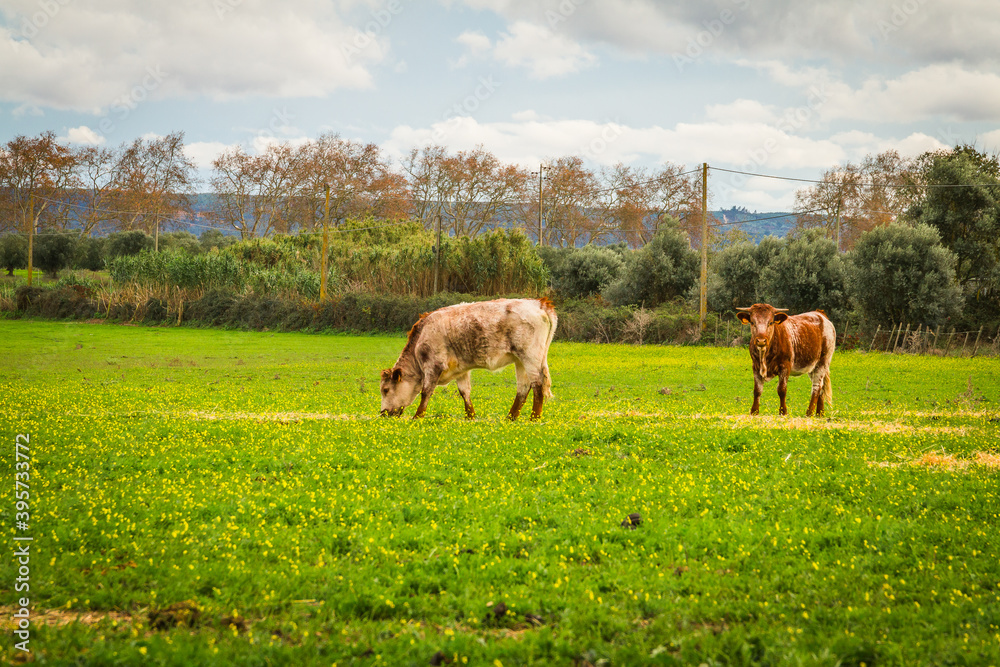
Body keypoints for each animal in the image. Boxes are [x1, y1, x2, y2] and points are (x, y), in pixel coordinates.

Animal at [380, 298, 558, 420]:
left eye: (385, 390)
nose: (382, 413)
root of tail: (539, 303)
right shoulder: (460, 370)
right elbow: (464, 391)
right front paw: (470, 416)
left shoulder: (433, 366)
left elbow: (426, 392)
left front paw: (417, 417)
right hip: (520, 361)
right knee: (523, 388)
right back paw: (510, 418)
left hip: (530, 357)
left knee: (538, 385)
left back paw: (534, 418)